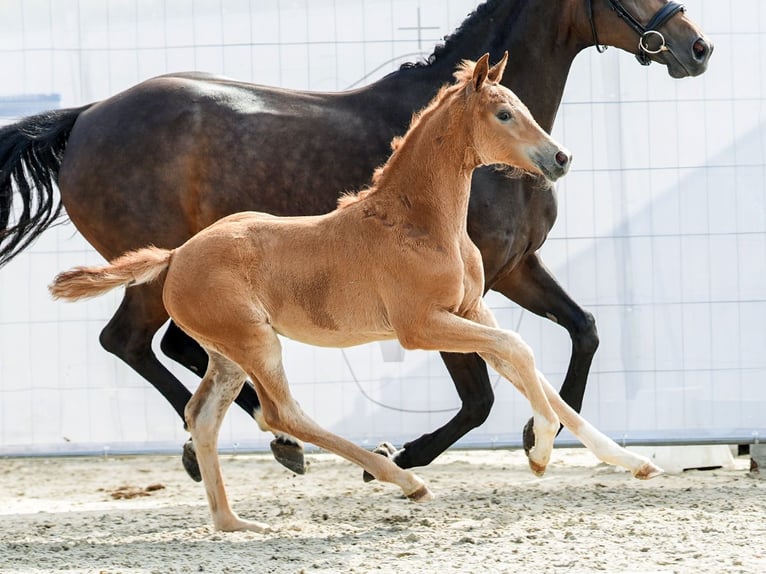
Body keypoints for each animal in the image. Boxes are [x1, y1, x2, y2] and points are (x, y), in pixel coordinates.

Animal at [3, 0, 716, 480]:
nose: (698, 47)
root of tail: (84, 117)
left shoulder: (514, 268)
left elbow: (582, 331)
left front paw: (543, 436)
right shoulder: (443, 301)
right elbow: (479, 396)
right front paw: (398, 458)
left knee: (177, 346)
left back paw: (263, 440)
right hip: (152, 269)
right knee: (129, 341)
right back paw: (254, 445)